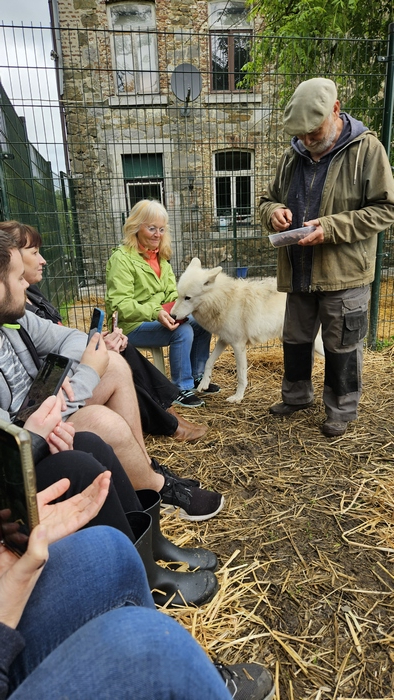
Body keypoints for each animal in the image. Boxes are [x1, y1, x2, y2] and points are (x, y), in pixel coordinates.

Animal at [172, 258, 324, 402]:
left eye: (187, 298)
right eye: (178, 295)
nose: (172, 316)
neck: (224, 300)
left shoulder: (238, 345)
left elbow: (241, 375)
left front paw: (238, 397)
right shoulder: (224, 339)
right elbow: (209, 361)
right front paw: (204, 384)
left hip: (315, 343)